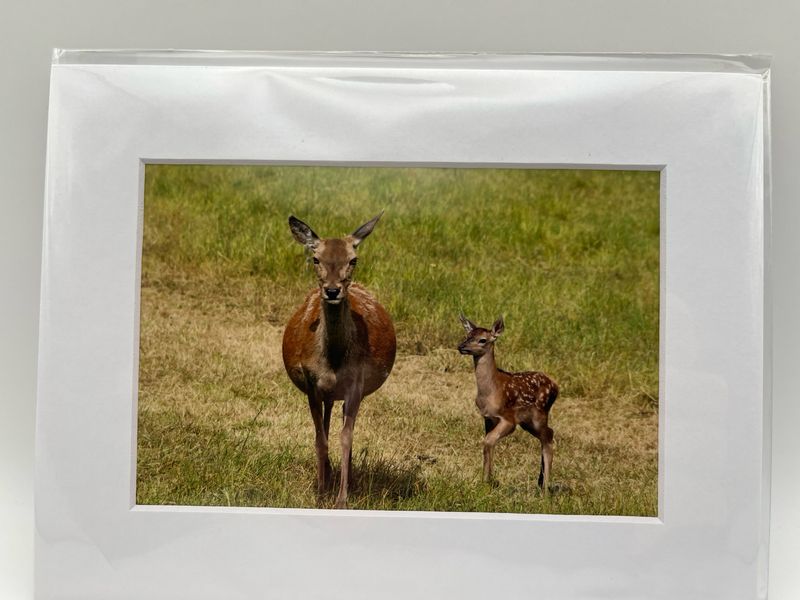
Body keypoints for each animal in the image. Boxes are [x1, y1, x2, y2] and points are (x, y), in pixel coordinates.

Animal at [282, 213, 396, 509]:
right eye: (315, 258)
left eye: (353, 259)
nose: (333, 291)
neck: (332, 360)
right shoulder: (310, 381)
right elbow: (320, 437)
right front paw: (321, 492)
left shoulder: (356, 383)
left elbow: (346, 437)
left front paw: (342, 498)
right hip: (326, 392)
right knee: (325, 421)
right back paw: (328, 474)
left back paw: (347, 479)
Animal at [458, 314, 558, 492]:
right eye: (467, 335)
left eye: (482, 340)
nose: (461, 346)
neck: (491, 391)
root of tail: (557, 387)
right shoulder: (488, 418)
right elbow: (488, 443)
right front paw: (485, 481)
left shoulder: (508, 419)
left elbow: (488, 440)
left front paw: (486, 482)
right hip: (528, 421)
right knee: (548, 434)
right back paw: (540, 482)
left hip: (539, 414)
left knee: (548, 437)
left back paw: (545, 489)